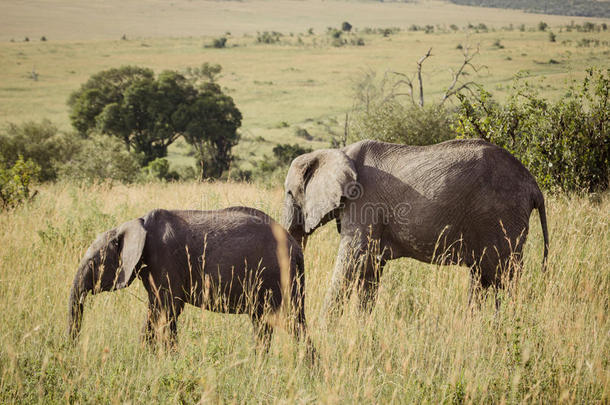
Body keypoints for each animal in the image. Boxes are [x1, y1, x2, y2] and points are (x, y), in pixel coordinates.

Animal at [69, 207, 312, 352]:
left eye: (92, 262)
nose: (72, 349)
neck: (138, 224)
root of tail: (295, 247)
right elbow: (156, 310)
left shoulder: (164, 258)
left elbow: (167, 310)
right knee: (264, 324)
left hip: (276, 276)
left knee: (290, 322)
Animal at [280, 139, 548, 316]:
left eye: (289, 193)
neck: (335, 152)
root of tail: (534, 185)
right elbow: (370, 268)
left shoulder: (364, 203)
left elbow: (353, 260)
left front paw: (325, 330)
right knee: (482, 276)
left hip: (502, 216)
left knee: (505, 276)